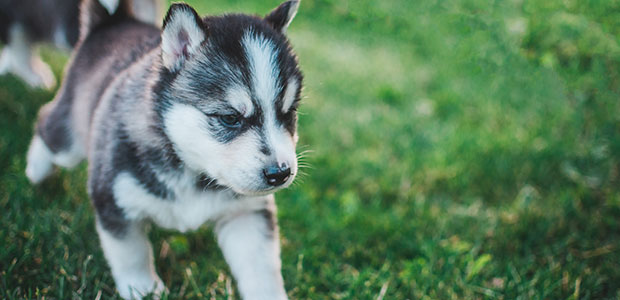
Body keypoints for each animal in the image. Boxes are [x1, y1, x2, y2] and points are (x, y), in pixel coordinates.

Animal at [25, 1, 304, 298]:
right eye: (230, 118)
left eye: (288, 113)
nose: (280, 173)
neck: (189, 167)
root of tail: (115, 22)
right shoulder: (113, 200)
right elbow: (131, 254)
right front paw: (143, 288)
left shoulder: (246, 214)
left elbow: (261, 269)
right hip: (71, 138)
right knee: (47, 123)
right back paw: (36, 170)